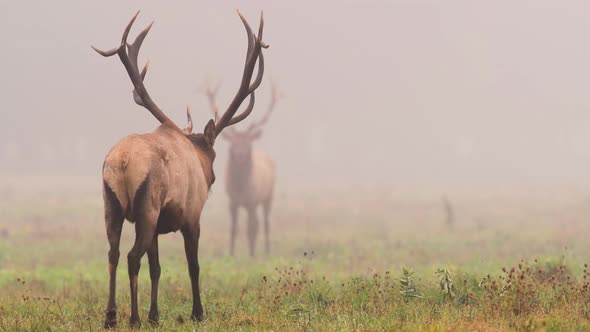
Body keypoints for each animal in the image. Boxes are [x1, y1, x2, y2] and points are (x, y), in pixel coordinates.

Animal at [92, 11, 268, 330]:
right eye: (214, 155)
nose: (213, 178)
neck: (196, 154)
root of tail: (122, 161)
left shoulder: (158, 228)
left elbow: (157, 268)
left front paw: (155, 315)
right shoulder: (191, 216)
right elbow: (193, 266)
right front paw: (198, 313)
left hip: (111, 202)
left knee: (113, 252)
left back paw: (111, 317)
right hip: (147, 206)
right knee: (131, 256)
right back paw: (133, 318)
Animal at [205, 80, 280, 256]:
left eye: (248, 144)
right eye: (233, 144)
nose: (239, 155)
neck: (241, 188)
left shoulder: (252, 200)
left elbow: (250, 229)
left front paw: (252, 255)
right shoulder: (233, 201)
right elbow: (234, 228)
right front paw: (231, 254)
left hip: (268, 196)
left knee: (264, 223)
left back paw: (266, 252)